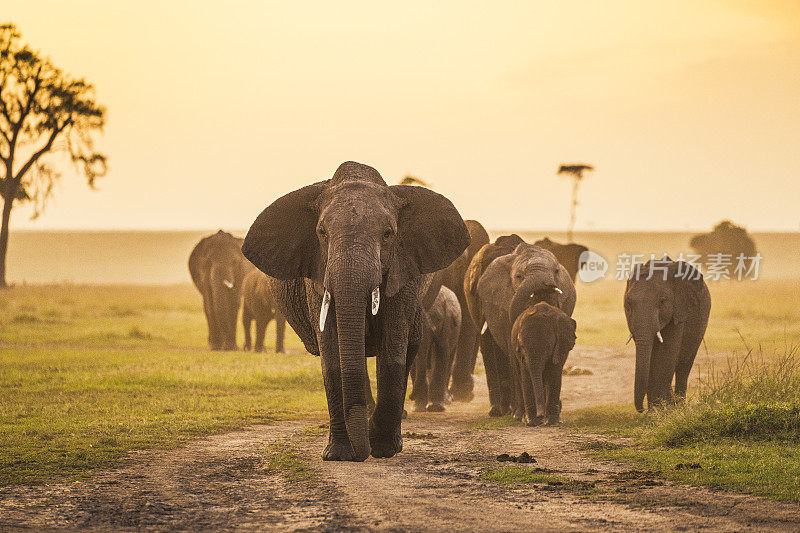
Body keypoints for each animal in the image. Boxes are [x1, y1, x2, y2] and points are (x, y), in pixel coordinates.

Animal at [242, 160, 468, 460]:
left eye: (388, 234)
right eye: (322, 233)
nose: (365, 452)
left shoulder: (402, 271)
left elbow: (392, 352)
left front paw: (383, 449)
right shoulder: (317, 275)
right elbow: (334, 355)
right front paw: (338, 455)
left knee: (409, 349)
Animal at [624, 258, 712, 412]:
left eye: (662, 302)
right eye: (628, 304)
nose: (642, 409)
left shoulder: (679, 310)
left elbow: (667, 353)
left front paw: (664, 411)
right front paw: (656, 412)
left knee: (684, 366)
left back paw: (679, 405)